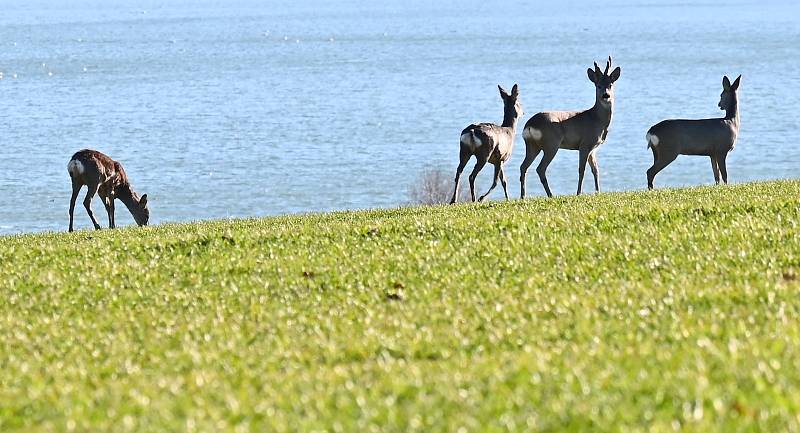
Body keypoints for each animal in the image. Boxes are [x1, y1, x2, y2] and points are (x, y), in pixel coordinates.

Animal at [516, 56, 620, 197]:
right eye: (598, 86)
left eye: (610, 85)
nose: (606, 95)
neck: (596, 120)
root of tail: (530, 125)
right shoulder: (585, 144)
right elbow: (582, 169)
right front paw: (578, 193)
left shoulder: (593, 148)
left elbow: (596, 170)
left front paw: (598, 192)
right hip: (551, 144)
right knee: (540, 168)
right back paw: (550, 195)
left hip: (532, 145)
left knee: (523, 166)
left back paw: (523, 196)